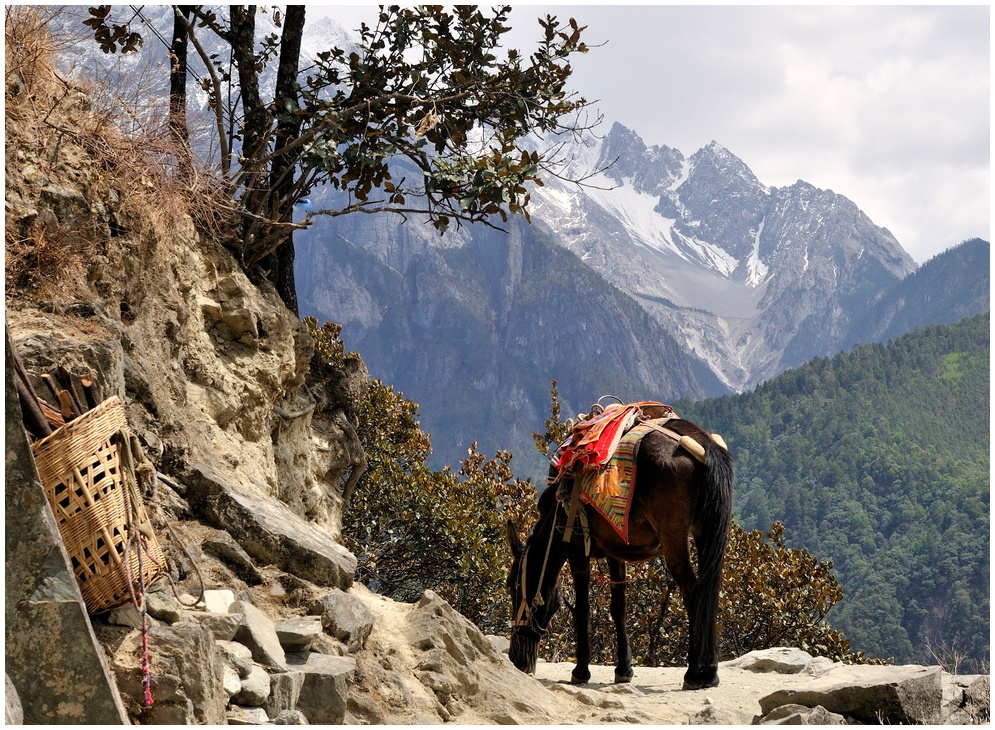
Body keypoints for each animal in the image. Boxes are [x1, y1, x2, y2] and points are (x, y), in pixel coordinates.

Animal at [506, 416, 732, 688]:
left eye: (512, 586)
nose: (516, 659)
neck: (556, 513)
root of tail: (703, 445)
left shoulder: (577, 549)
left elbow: (582, 608)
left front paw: (581, 670)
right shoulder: (616, 550)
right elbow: (619, 607)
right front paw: (624, 669)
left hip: (673, 538)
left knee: (693, 591)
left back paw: (693, 672)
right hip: (706, 530)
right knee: (710, 591)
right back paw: (710, 671)